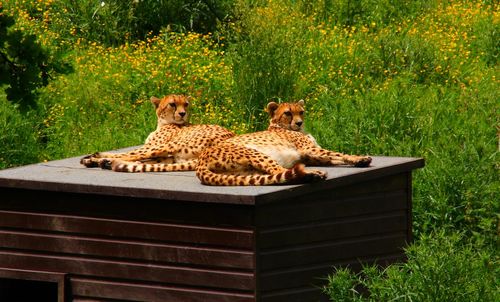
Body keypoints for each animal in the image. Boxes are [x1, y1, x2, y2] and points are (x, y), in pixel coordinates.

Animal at [79, 94, 234, 172]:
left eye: (186, 104)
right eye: (172, 104)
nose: (183, 113)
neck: (162, 123)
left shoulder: (154, 147)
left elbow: (128, 154)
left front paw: (95, 157)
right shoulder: (167, 156)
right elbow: (138, 159)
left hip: (168, 146)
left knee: (130, 155)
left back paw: (95, 159)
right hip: (173, 156)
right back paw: (102, 161)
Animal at [195, 99, 372, 185]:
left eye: (301, 112)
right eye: (288, 113)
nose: (299, 122)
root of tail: (200, 160)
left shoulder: (311, 156)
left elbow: (334, 157)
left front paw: (359, 161)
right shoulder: (310, 150)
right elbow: (338, 153)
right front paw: (359, 157)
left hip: (246, 172)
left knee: (274, 175)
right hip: (255, 153)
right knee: (280, 170)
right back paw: (312, 174)